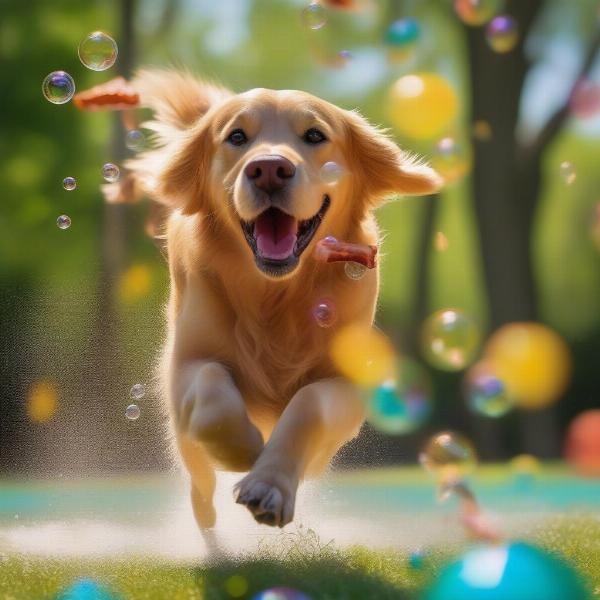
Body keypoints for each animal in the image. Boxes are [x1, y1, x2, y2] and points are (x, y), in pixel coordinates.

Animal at [108, 69, 438, 536]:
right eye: (237, 136)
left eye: (315, 135)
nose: (268, 169)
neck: (275, 294)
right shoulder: (186, 363)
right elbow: (212, 391)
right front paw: (245, 449)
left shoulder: (346, 384)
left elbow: (309, 405)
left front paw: (269, 483)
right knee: (200, 486)